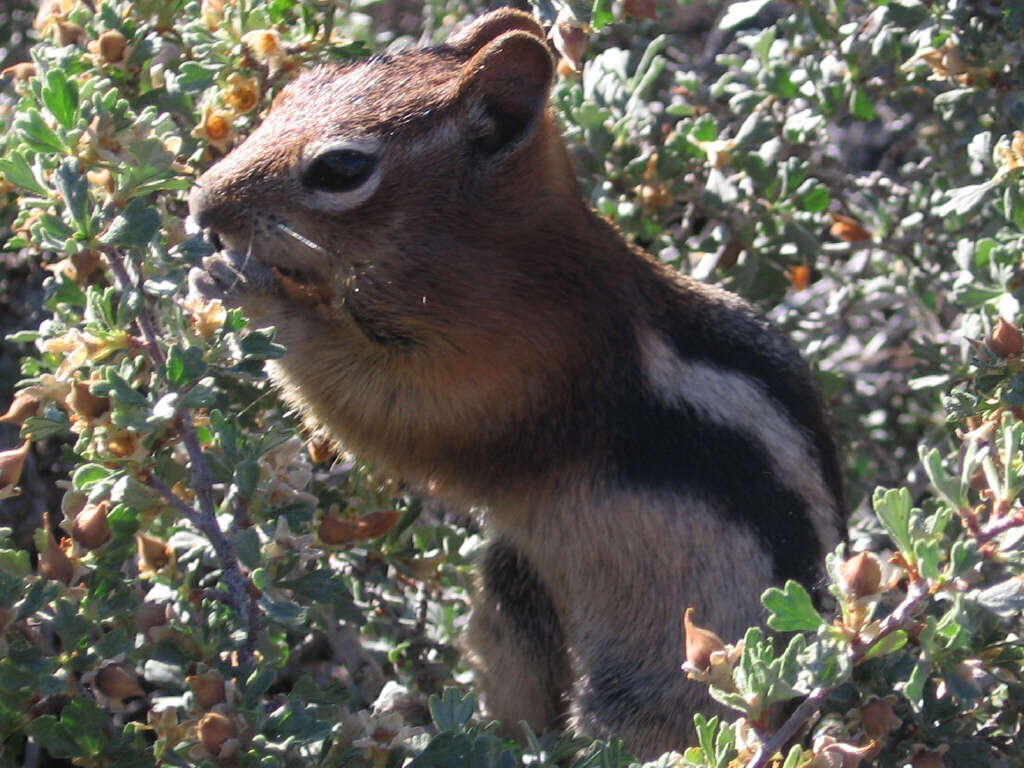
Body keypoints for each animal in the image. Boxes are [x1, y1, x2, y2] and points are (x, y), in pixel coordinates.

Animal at [188, 9, 843, 761]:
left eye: (341, 168)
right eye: (292, 91)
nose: (200, 203)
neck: (509, 258)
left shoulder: (523, 368)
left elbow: (399, 414)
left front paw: (255, 292)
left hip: (672, 676)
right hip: (521, 577)